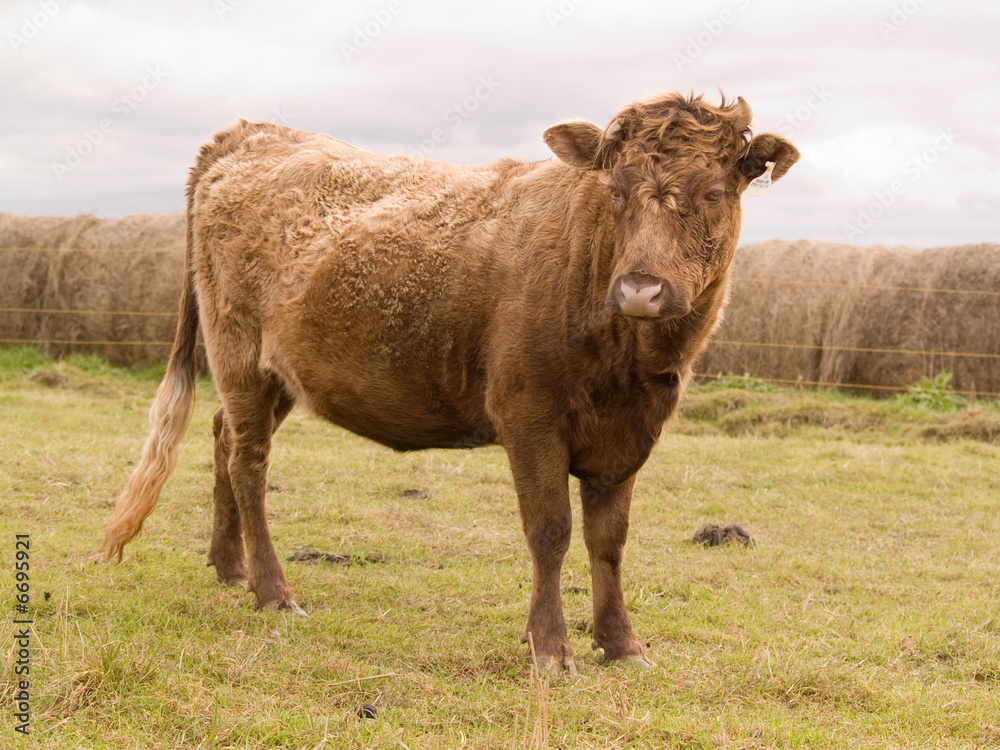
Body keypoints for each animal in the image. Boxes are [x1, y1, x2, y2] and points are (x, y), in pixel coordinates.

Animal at [101, 91, 800, 672]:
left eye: (714, 193)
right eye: (616, 190)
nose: (640, 289)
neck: (630, 365)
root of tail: (251, 132)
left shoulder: (627, 437)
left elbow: (609, 541)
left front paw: (621, 644)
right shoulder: (529, 416)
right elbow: (551, 532)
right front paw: (551, 648)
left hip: (277, 374)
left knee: (223, 438)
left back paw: (230, 567)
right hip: (238, 352)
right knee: (248, 464)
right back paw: (274, 592)